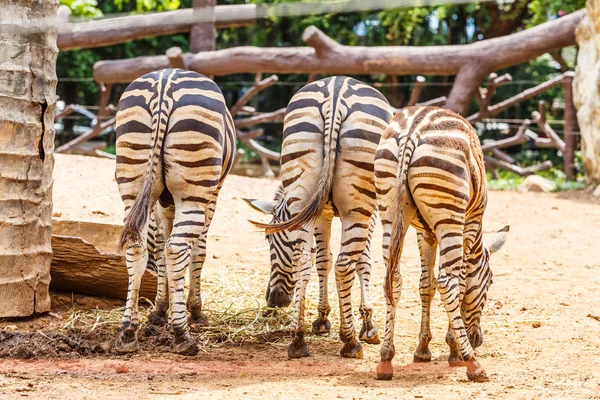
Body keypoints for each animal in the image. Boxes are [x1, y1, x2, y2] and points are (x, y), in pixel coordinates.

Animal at [113, 69, 236, 356]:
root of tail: (164, 84)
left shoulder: (161, 204)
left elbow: (158, 250)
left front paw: (161, 310)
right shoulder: (211, 198)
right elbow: (197, 251)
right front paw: (192, 311)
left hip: (132, 180)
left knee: (137, 248)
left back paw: (128, 332)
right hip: (193, 191)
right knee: (177, 249)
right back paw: (183, 335)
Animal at [244, 76, 394, 358]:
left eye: (269, 241)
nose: (274, 300)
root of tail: (336, 92)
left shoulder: (321, 213)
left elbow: (323, 260)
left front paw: (322, 319)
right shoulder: (369, 212)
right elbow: (362, 261)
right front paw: (367, 325)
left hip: (301, 189)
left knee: (304, 261)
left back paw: (298, 339)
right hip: (357, 205)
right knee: (345, 264)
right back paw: (350, 343)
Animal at [372, 105, 508, 382]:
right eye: (490, 282)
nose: (477, 340)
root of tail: (413, 128)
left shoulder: (425, 234)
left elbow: (426, 285)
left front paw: (422, 349)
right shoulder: (469, 226)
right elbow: (460, 284)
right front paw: (455, 349)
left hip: (388, 211)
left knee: (393, 280)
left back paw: (386, 360)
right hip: (449, 215)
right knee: (448, 282)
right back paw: (473, 365)